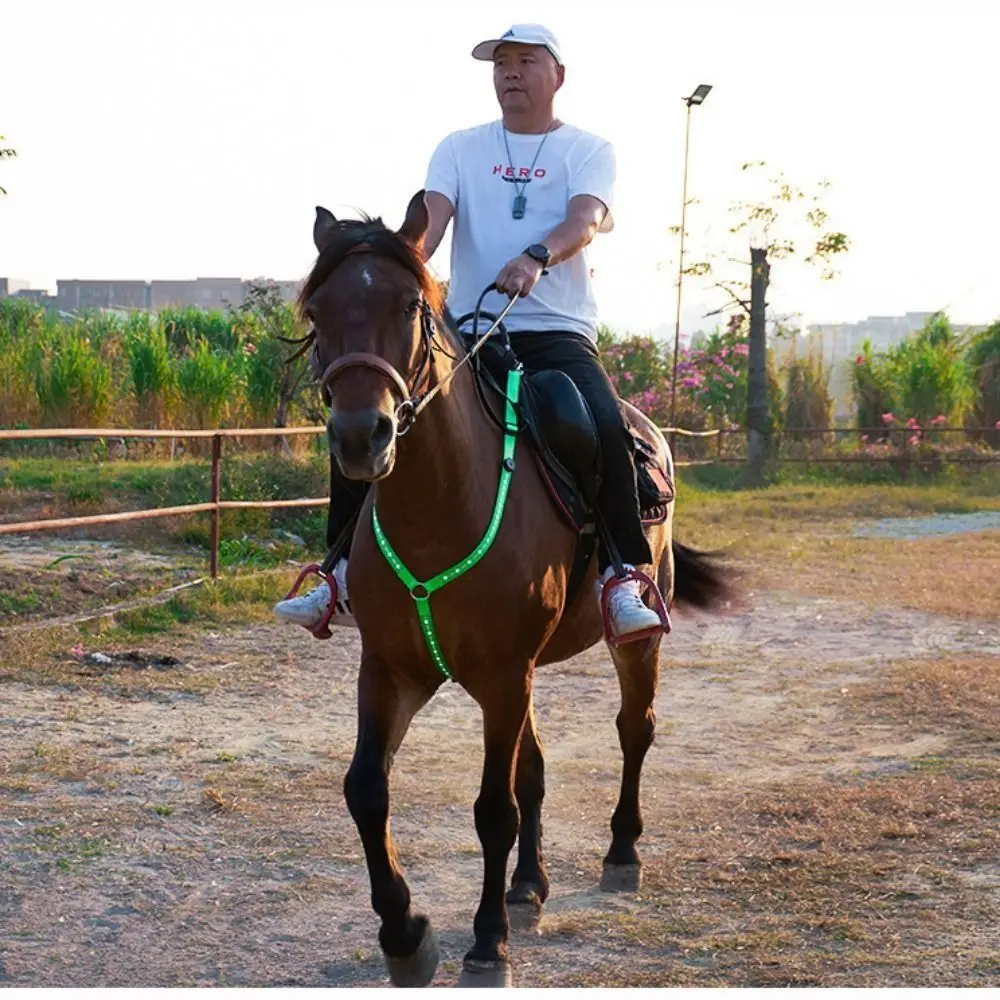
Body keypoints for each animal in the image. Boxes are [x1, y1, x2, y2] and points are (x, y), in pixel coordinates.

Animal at [298, 191, 736, 988]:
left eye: (409, 305)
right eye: (318, 312)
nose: (361, 436)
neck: (441, 507)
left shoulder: (502, 677)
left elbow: (492, 809)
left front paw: (486, 943)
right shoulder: (393, 669)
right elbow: (367, 789)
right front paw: (406, 936)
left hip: (627, 644)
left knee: (634, 730)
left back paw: (621, 853)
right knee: (534, 768)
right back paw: (528, 884)